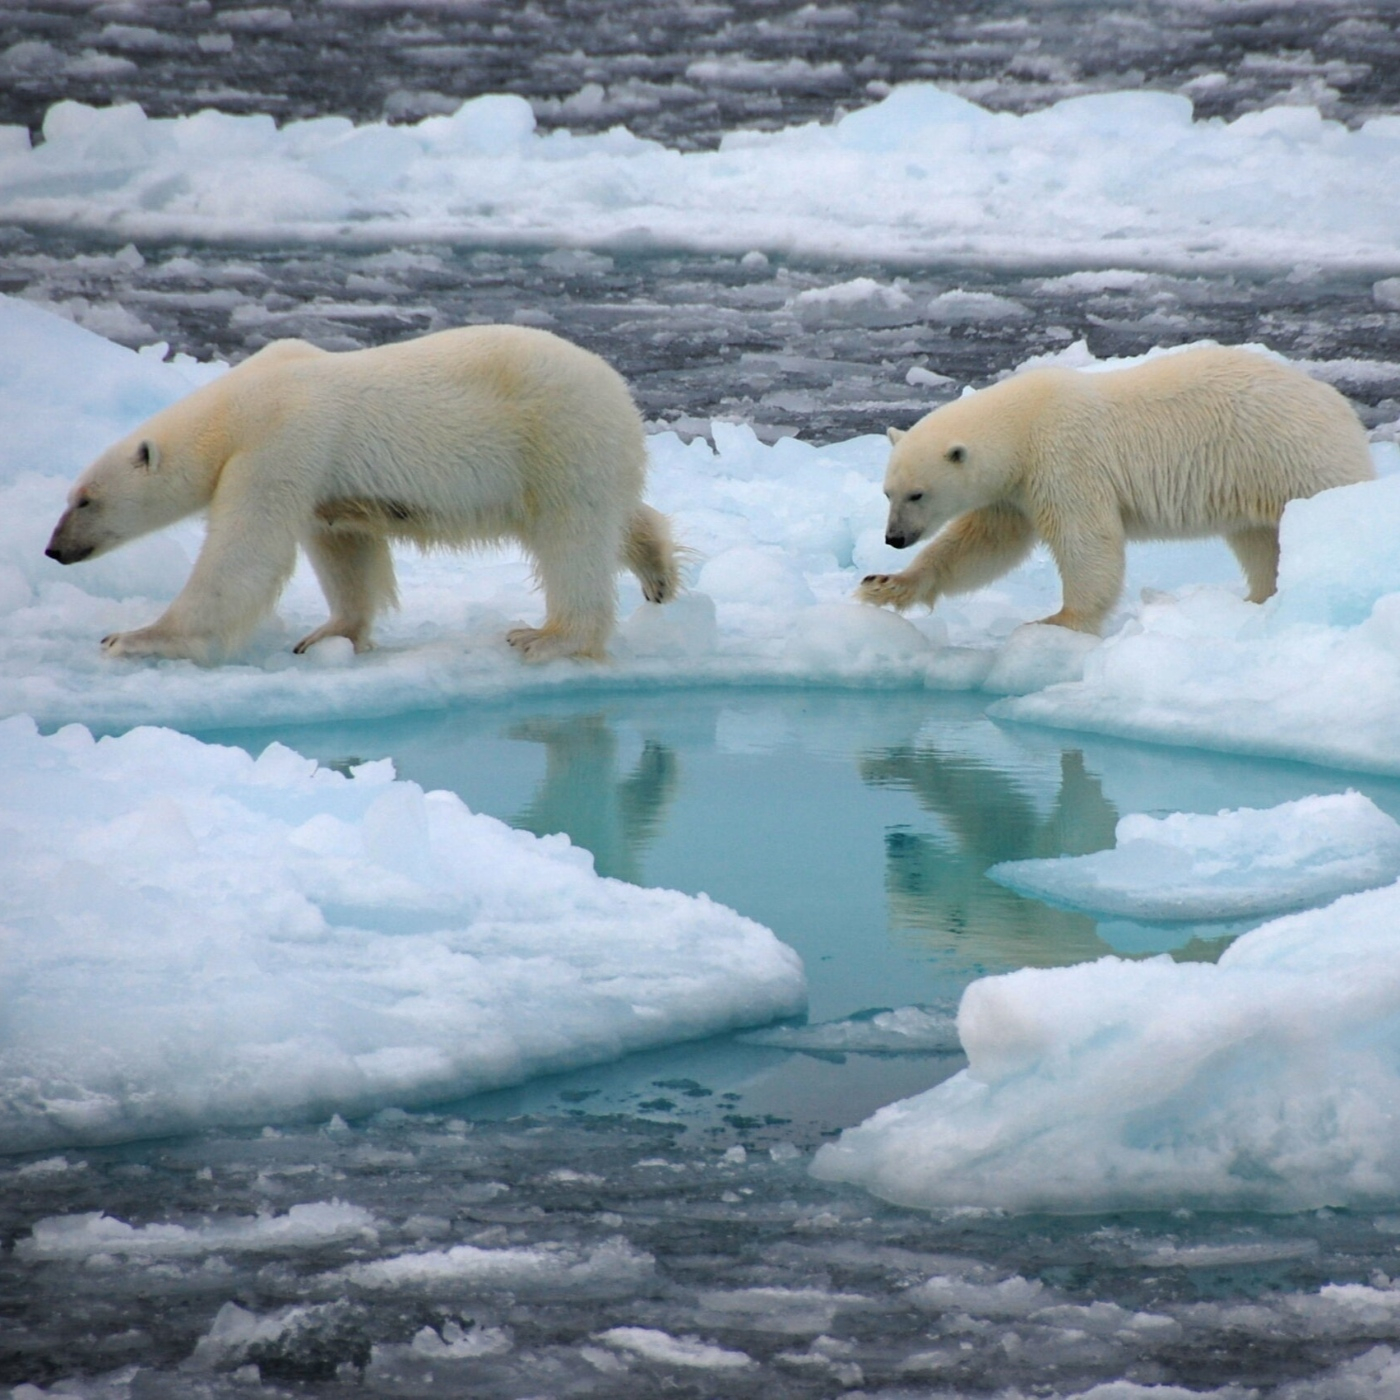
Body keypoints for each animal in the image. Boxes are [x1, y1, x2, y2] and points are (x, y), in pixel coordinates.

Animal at [45, 324, 677, 663]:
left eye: (85, 500)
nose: (54, 550)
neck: (238, 406)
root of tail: (620, 391)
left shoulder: (281, 442)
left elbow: (244, 555)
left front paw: (133, 637)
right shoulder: (317, 473)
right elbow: (343, 546)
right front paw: (328, 635)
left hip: (558, 439)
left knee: (573, 539)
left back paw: (546, 637)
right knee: (616, 518)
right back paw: (659, 571)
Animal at [856, 347, 1372, 632]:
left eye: (917, 494)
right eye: (887, 492)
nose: (894, 538)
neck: (1023, 424)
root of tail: (1339, 406)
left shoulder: (1064, 461)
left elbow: (1086, 540)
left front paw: (1057, 620)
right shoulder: (1013, 491)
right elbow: (984, 544)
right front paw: (884, 585)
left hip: (1295, 459)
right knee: (1258, 541)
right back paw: (1258, 599)